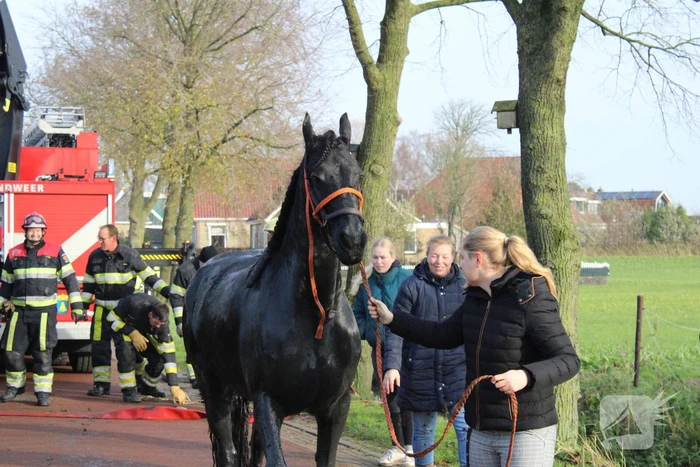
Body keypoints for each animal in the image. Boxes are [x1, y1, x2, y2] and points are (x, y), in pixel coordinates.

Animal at [184, 113, 367, 467]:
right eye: (317, 177)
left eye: (358, 175)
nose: (352, 239)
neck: (316, 314)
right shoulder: (269, 401)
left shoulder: (335, 408)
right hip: (213, 385)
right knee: (228, 451)